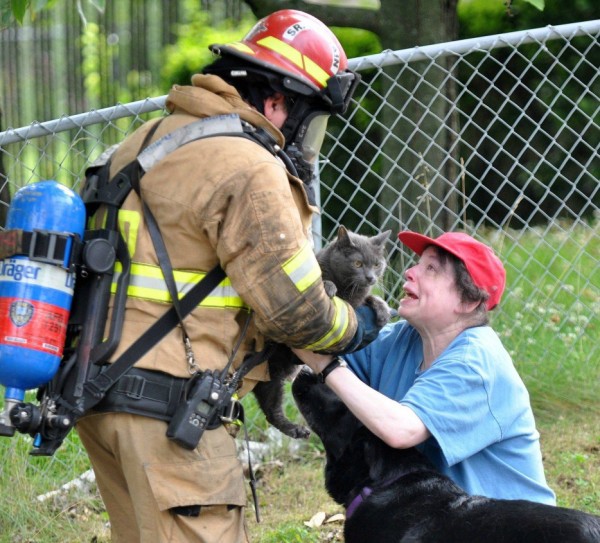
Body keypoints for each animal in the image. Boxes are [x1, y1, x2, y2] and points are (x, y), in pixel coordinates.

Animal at [253, 227, 394, 440]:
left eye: (377, 264)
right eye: (358, 263)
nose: (371, 277)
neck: (347, 287)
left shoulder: (355, 305)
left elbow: (369, 298)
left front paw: (383, 310)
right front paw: (328, 286)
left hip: (273, 378)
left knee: (270, 408)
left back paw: (297, 430)